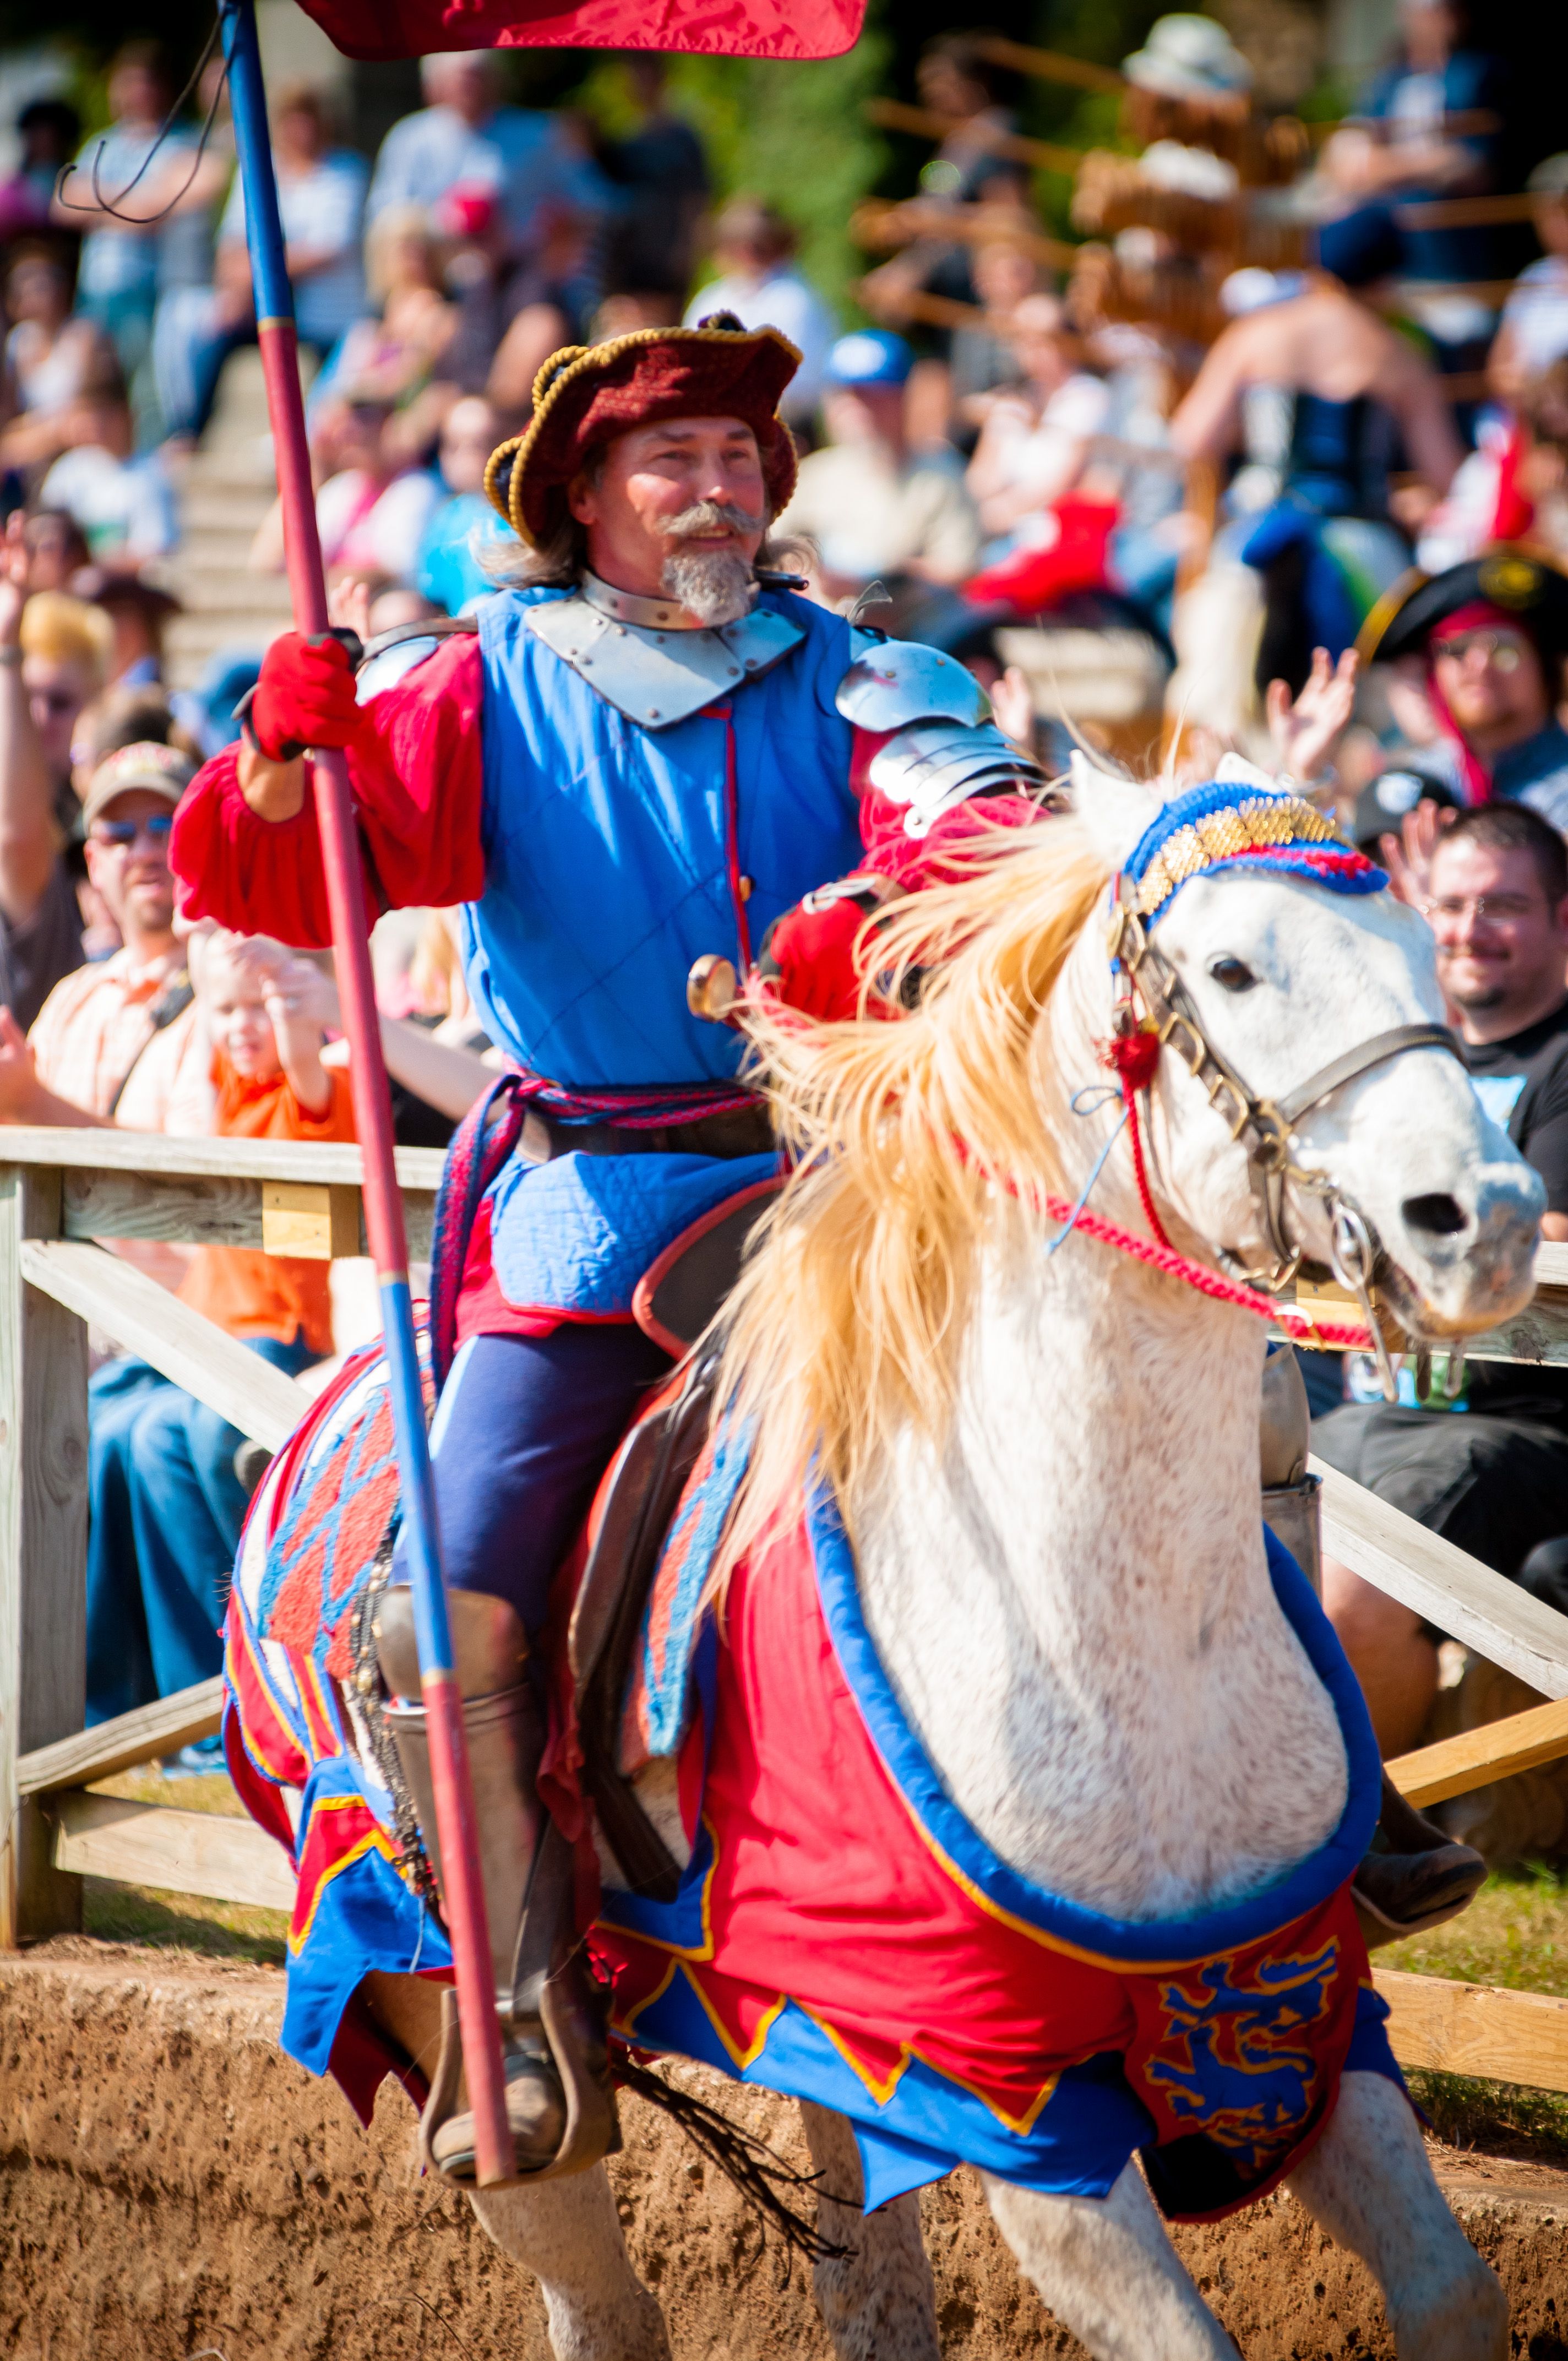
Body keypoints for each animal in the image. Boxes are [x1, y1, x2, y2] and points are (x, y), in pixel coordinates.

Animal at [358, 755, 1539, 2361]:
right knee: (589, 2276)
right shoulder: (1015, 2115)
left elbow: (1450, 2293)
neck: (1103, 1630)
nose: (1485, 1222)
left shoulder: (1289, 2015)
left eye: (1430, 951)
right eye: (1232, 969)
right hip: (445, 2017)